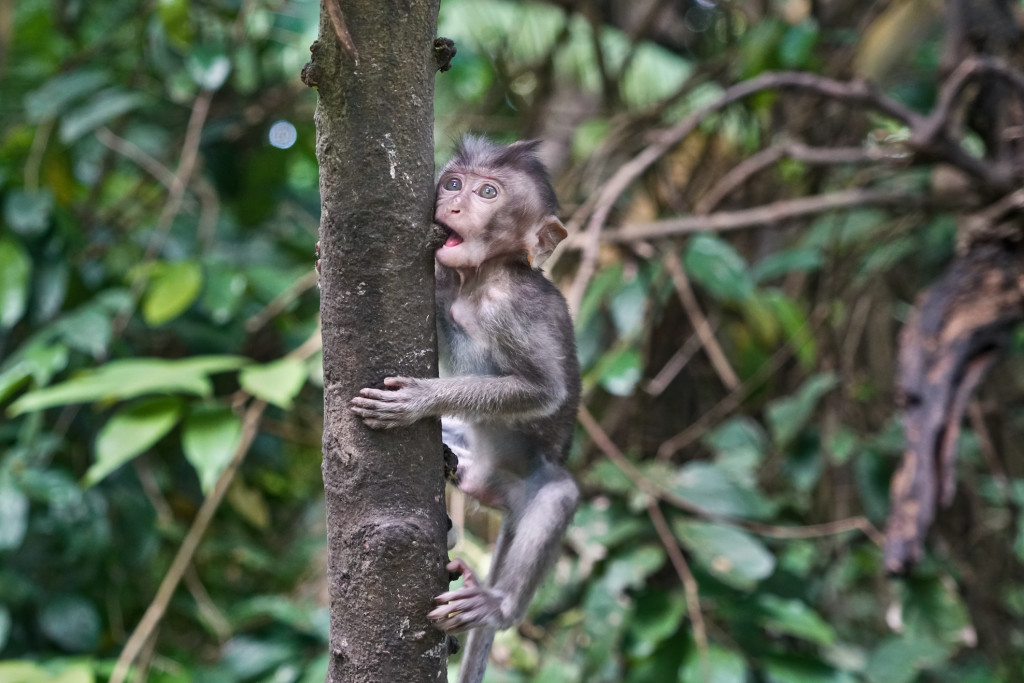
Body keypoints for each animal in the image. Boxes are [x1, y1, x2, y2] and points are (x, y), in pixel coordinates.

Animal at [350, 136, 577, 679]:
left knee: (559, 494)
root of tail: (493, 486)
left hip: (531, 482)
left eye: (487, 192)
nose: (452, 204)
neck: (479, 280)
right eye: (454, 183)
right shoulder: (445, 281)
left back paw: (497, 605)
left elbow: (543, 390)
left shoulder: (511, 308)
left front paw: (416, 400)